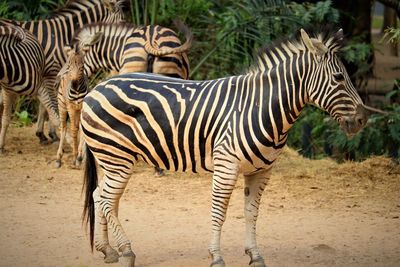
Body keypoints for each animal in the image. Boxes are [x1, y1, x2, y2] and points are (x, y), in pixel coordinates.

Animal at [80, 28, 368, 266]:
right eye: (339, 77)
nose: (363, 119)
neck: (259, 107)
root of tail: (97, 87)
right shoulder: (226, 166)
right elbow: (219, 212)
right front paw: (216, 257)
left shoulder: (261, 171)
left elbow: (251, 213)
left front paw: (255, 255)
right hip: (117, 157)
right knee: (106, 199)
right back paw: (127, 251)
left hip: (112, 158)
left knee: (100, 196)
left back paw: (109, 250)